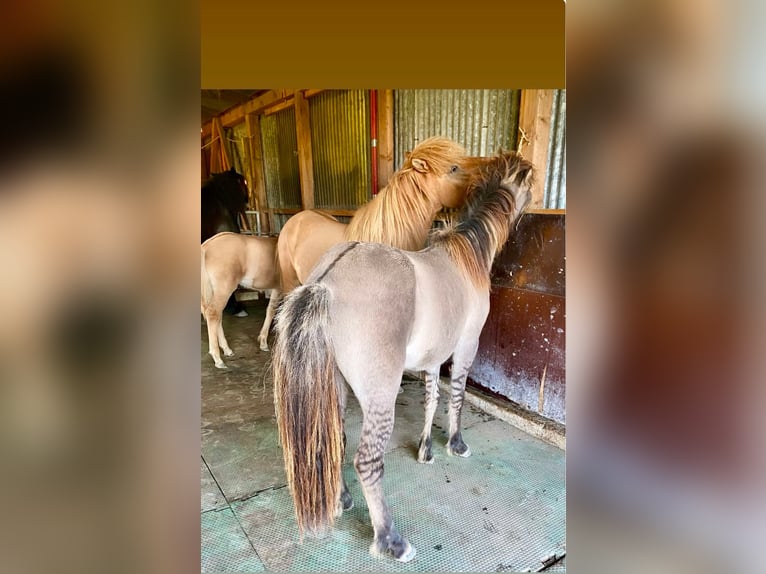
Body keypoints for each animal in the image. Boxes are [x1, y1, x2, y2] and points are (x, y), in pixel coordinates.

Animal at [201, 233, 282, 372]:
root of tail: (207, 245)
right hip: (224, 289)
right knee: (213, 313)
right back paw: (218, 359)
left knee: (217, 315)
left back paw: (227, 349)